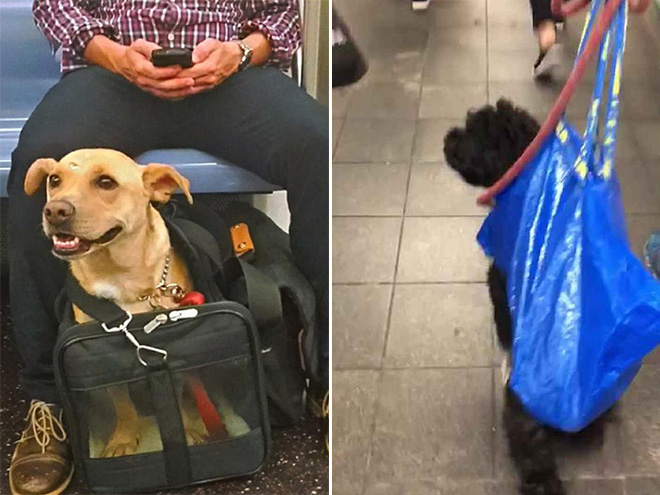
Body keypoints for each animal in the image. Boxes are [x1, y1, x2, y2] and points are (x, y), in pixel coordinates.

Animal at [24, 149, 206, 460]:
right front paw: (123, 437)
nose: (55, 211)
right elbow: (121, 402)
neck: (119, 277)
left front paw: (190, 427)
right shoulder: (102, 357)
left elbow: (181, 394)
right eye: (55, 180)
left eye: (106, 182)